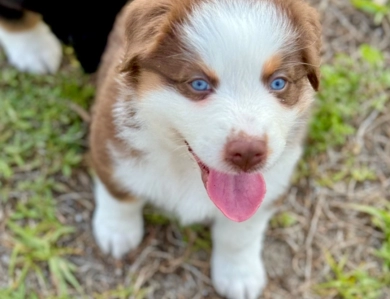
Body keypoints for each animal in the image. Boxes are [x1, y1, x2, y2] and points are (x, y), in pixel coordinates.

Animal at [90, 0, 320, 298]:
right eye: (199, 83)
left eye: (278, 82)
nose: (248, 153)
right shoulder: (111, 139)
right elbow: (119, 192)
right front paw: (116, 231)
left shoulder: (278, 175)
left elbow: (240, 232)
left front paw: (239, 274)